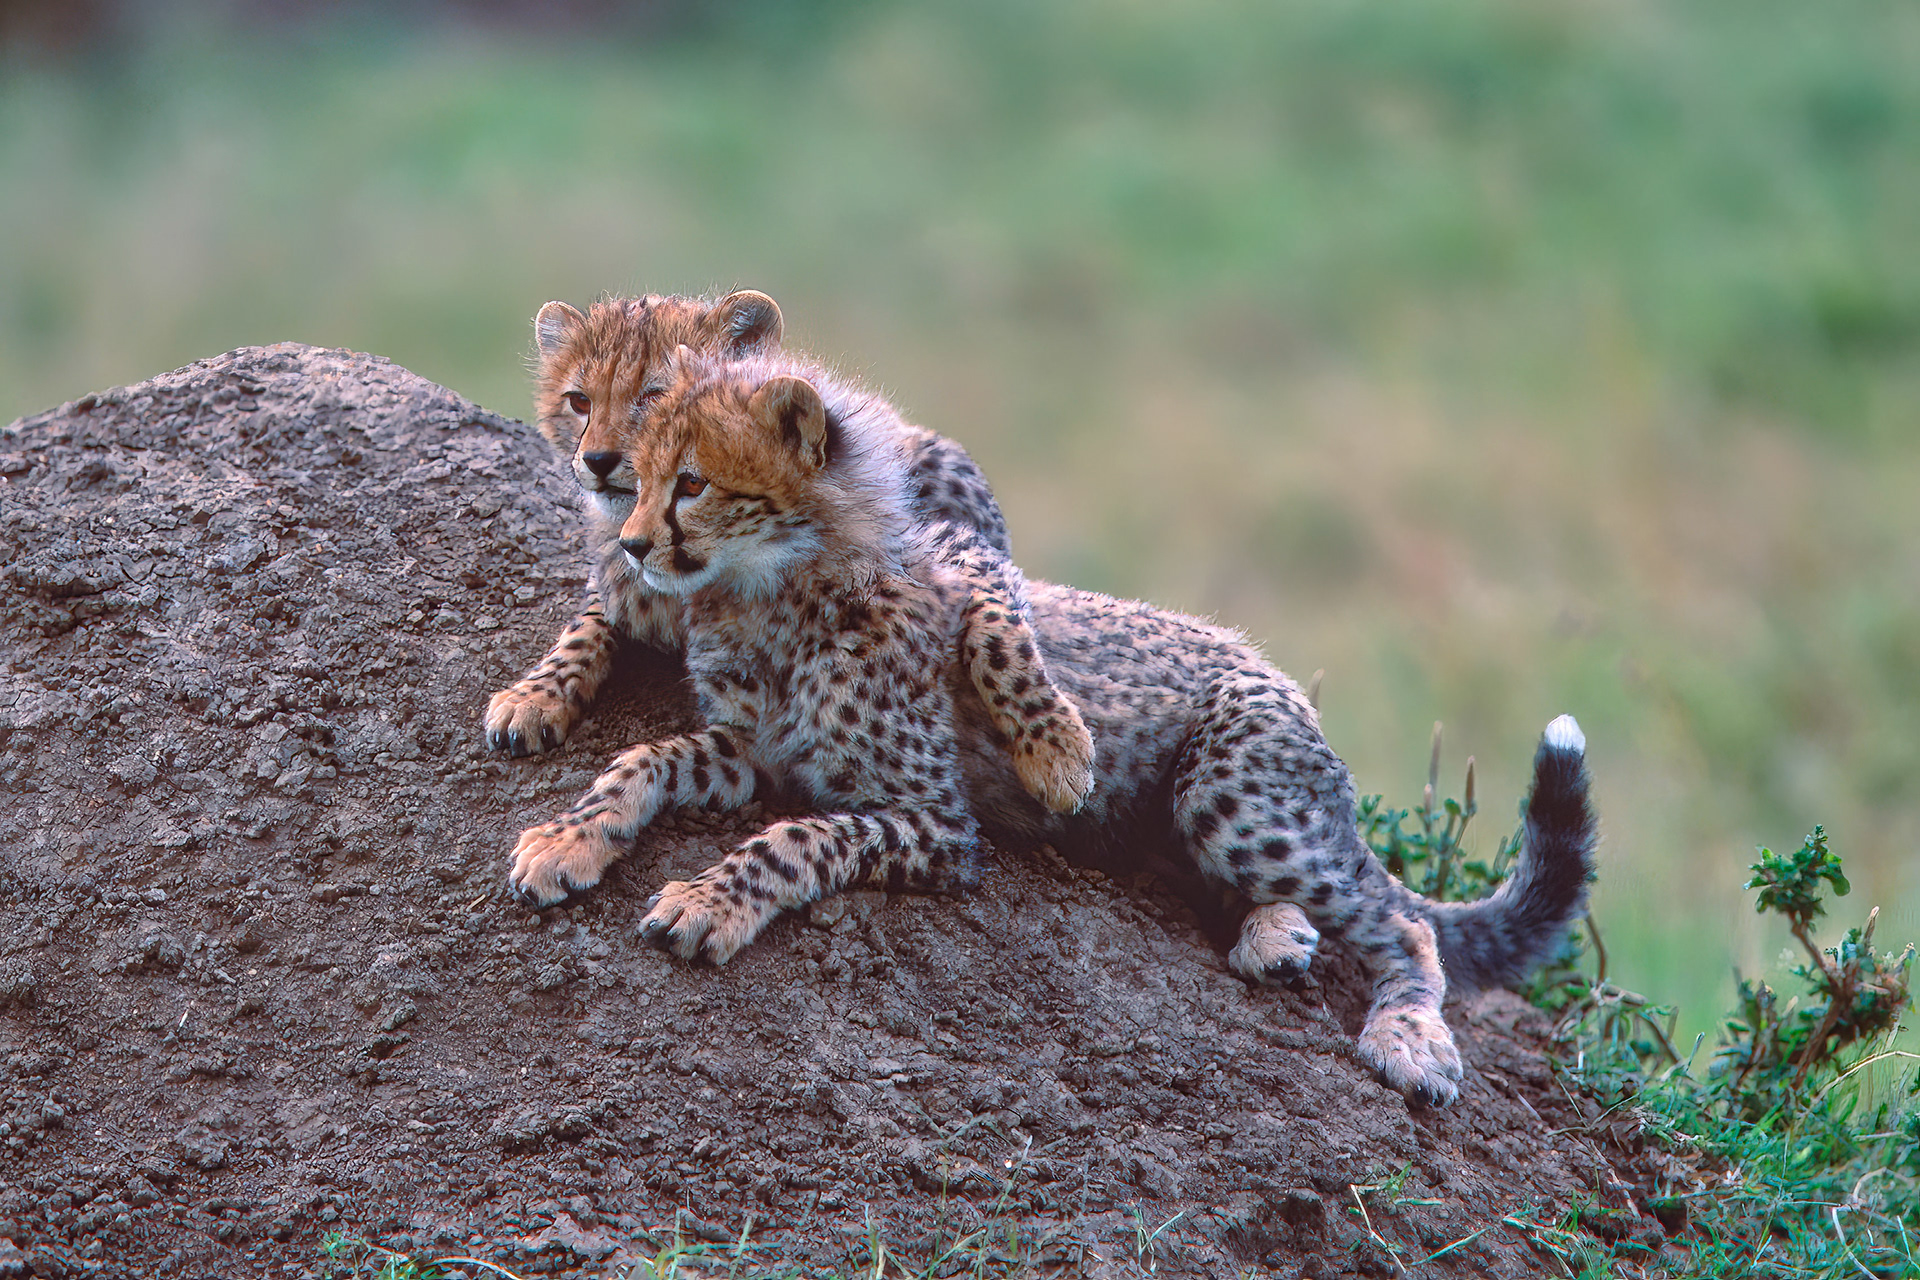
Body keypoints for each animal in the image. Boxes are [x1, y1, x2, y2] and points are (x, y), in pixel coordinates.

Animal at [484, 290, 1092, 813]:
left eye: (653, 397)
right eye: (579, 401)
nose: (598, 461)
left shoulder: (950, 548)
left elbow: (998, 629)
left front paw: (1056, 750)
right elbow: (590, 620)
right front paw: (535, 693)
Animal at [504, 348, 1599, 1105]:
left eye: (690, 481)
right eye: (638, 476)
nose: (631, 544)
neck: (770, 590)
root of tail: (1274, 666)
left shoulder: (936, 819)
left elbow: (798, 837)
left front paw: (709, 900)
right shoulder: (749, 751)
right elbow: (646, 756)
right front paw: (567, 839)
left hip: (1228, 792)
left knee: (1403, 922)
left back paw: (1408, 1035)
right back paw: (1273, 935)